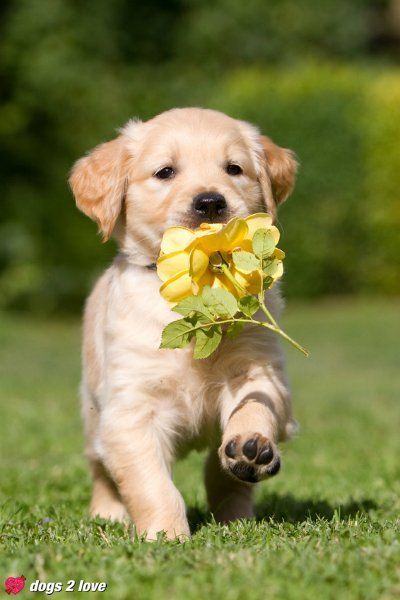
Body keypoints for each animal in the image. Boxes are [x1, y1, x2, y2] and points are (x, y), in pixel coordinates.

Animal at [69, 106, 296, 540]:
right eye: (165, 172)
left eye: (234, 168)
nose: (210, 202)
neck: (198, 287)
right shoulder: (129, 410)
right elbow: (152, 484)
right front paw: (167, 536)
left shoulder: (257, 367)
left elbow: (256, 404)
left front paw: (252, 442)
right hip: (92, 414)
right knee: (100, 470)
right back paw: (107, 514)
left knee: (221, 477)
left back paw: (239, 503)